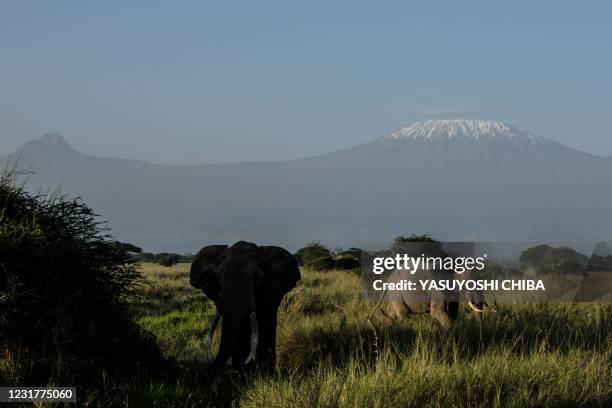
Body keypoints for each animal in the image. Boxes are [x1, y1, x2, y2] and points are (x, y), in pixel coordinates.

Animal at [188, 241, 300, 374]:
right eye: (219, 277)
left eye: (257, 277)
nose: (209, 367)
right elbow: (240, 329)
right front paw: (242, 373)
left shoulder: (271, 289)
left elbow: (265, 320)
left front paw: (266, 374)